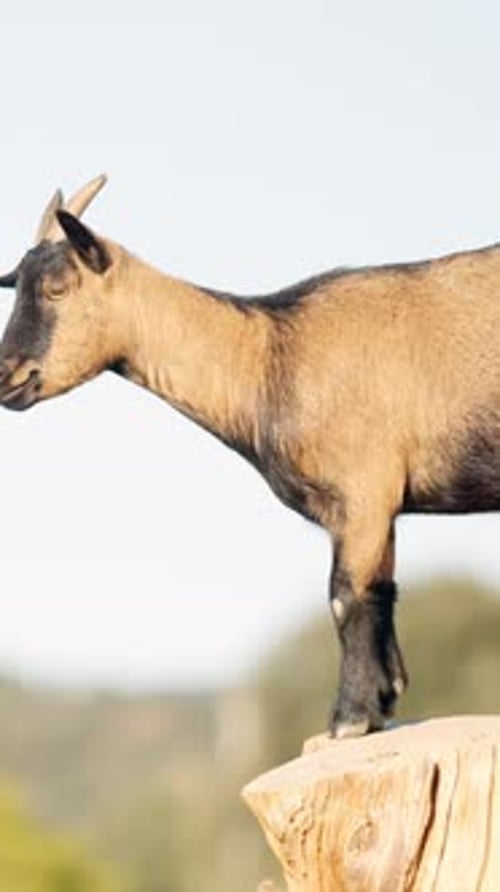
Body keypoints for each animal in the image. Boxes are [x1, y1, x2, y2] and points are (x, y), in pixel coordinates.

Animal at [0, 176, 499, 738]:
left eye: (57, 288)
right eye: (15, 285)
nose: (7, 376)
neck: (264, 353)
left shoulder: (363, 492)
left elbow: (347, 596)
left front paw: (347, 721)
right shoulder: (379, 506)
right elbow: (383, 594)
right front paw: (384, 702)